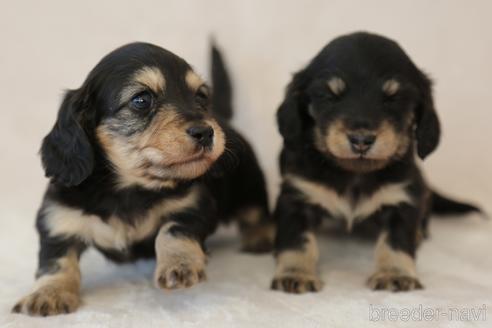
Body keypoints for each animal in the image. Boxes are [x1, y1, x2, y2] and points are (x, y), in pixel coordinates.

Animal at [12, 41, 272, 316]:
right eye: (141, 100)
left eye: (201, 96)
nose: (206, 132)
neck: (130, 188)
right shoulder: (58, 220)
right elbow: (55, 262)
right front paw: (48, 293)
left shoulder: (193, 207)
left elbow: (172, 231)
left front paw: (179, 265)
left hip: (250, 186)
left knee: (255, 212)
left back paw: (260, 237)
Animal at [270, 32, 480, 294]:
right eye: (329, 96)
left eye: (394, 98)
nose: (361, 140)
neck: (354, 174)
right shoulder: (297, 198)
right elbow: (297, 241)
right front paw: (295, 275)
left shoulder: (402, 199)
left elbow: (395, 241)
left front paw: (395, 274)